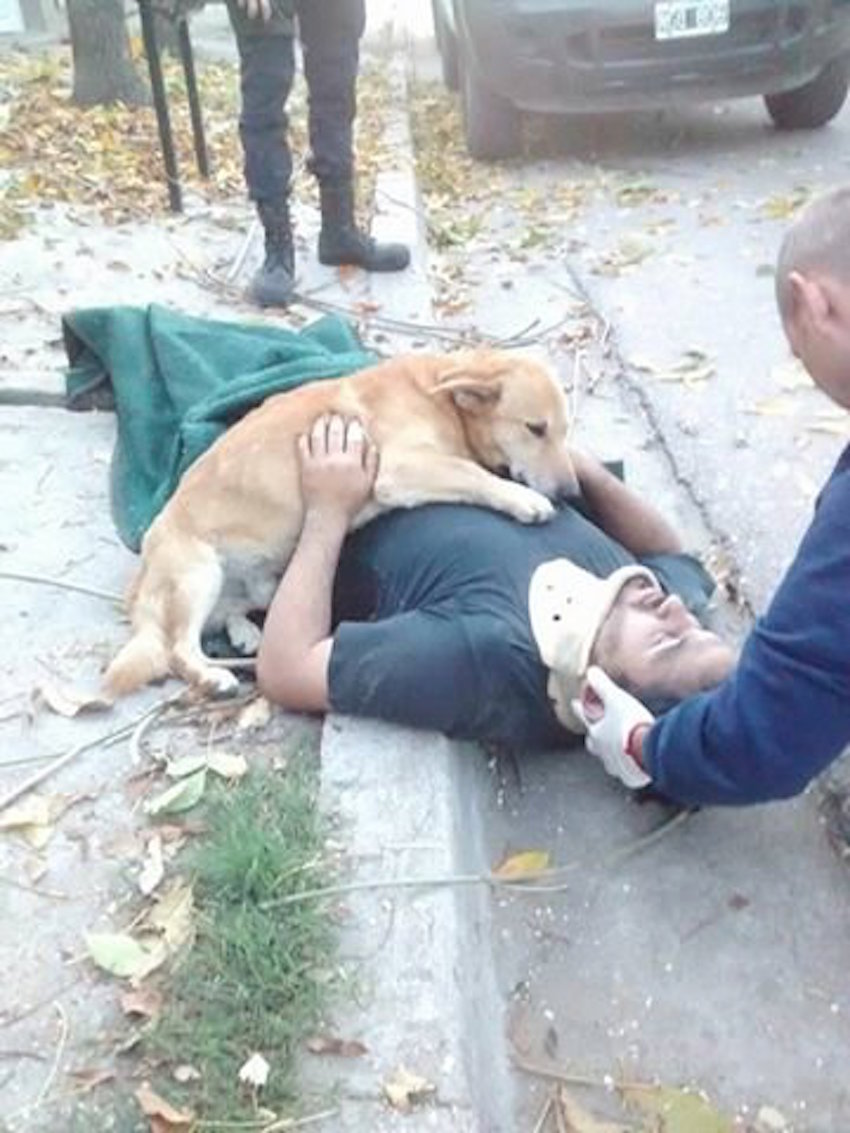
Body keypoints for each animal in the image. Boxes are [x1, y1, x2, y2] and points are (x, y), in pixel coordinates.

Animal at [104, 348, 580, 693]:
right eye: (535, 428)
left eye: (564, 430)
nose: (573, 492)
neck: (441, 398)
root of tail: (139, 582)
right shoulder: (399, 469)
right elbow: (473, 474)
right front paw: (523, 499)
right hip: (199, 572)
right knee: (178, 649)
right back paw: (214, 675)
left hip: (254, 582)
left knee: (222, 618)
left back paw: (244, 635)